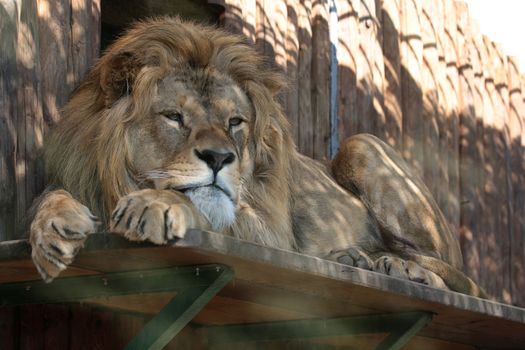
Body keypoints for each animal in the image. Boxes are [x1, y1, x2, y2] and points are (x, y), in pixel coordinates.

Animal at [28, 15, 484, 296]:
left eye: (235, 121)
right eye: (174, 116)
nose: (218, 158)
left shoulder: (272, 233)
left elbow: (206, 209)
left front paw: (157, 206)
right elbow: (50, 197)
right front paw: (52, 231)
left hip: (362, 143)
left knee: (462, 279)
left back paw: (400, 268)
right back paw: (356, 257)